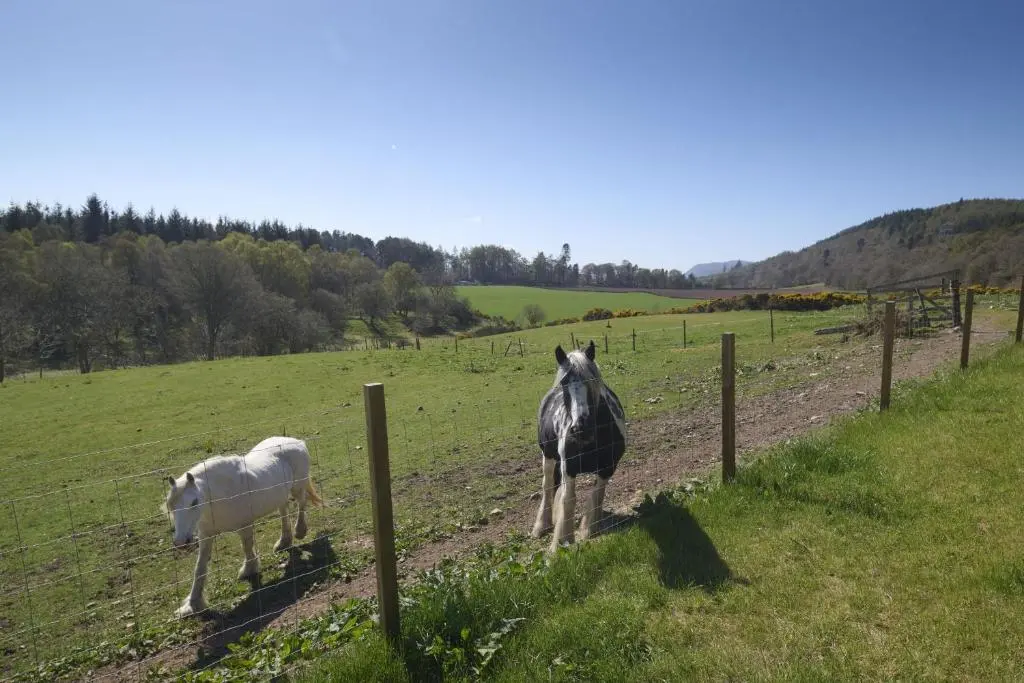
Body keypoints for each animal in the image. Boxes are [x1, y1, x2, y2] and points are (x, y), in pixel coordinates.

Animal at [162, 435, 323, 618]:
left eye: (194, 502)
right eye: (171, 506)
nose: (181, 542)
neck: (218, 496)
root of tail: (295, 441)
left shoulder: (244, 525)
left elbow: (247, 546)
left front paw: (249, 569)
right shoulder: (205, 535)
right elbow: (200, 567)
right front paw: (192, 604)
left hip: (297, 487)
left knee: (302, 503)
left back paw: (300, 531)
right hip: (280, 494)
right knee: (284, 511)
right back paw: (284, 541)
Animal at [532, 340, 627, 553]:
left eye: (591, 380)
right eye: (565, 383)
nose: (580, 428)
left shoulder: (607, 467)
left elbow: (597, 495)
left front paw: (589, 531)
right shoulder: (570, 467)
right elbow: (569, 499)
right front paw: (562, 542)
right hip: (548, 456)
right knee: (548, 486)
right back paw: (541, 525)